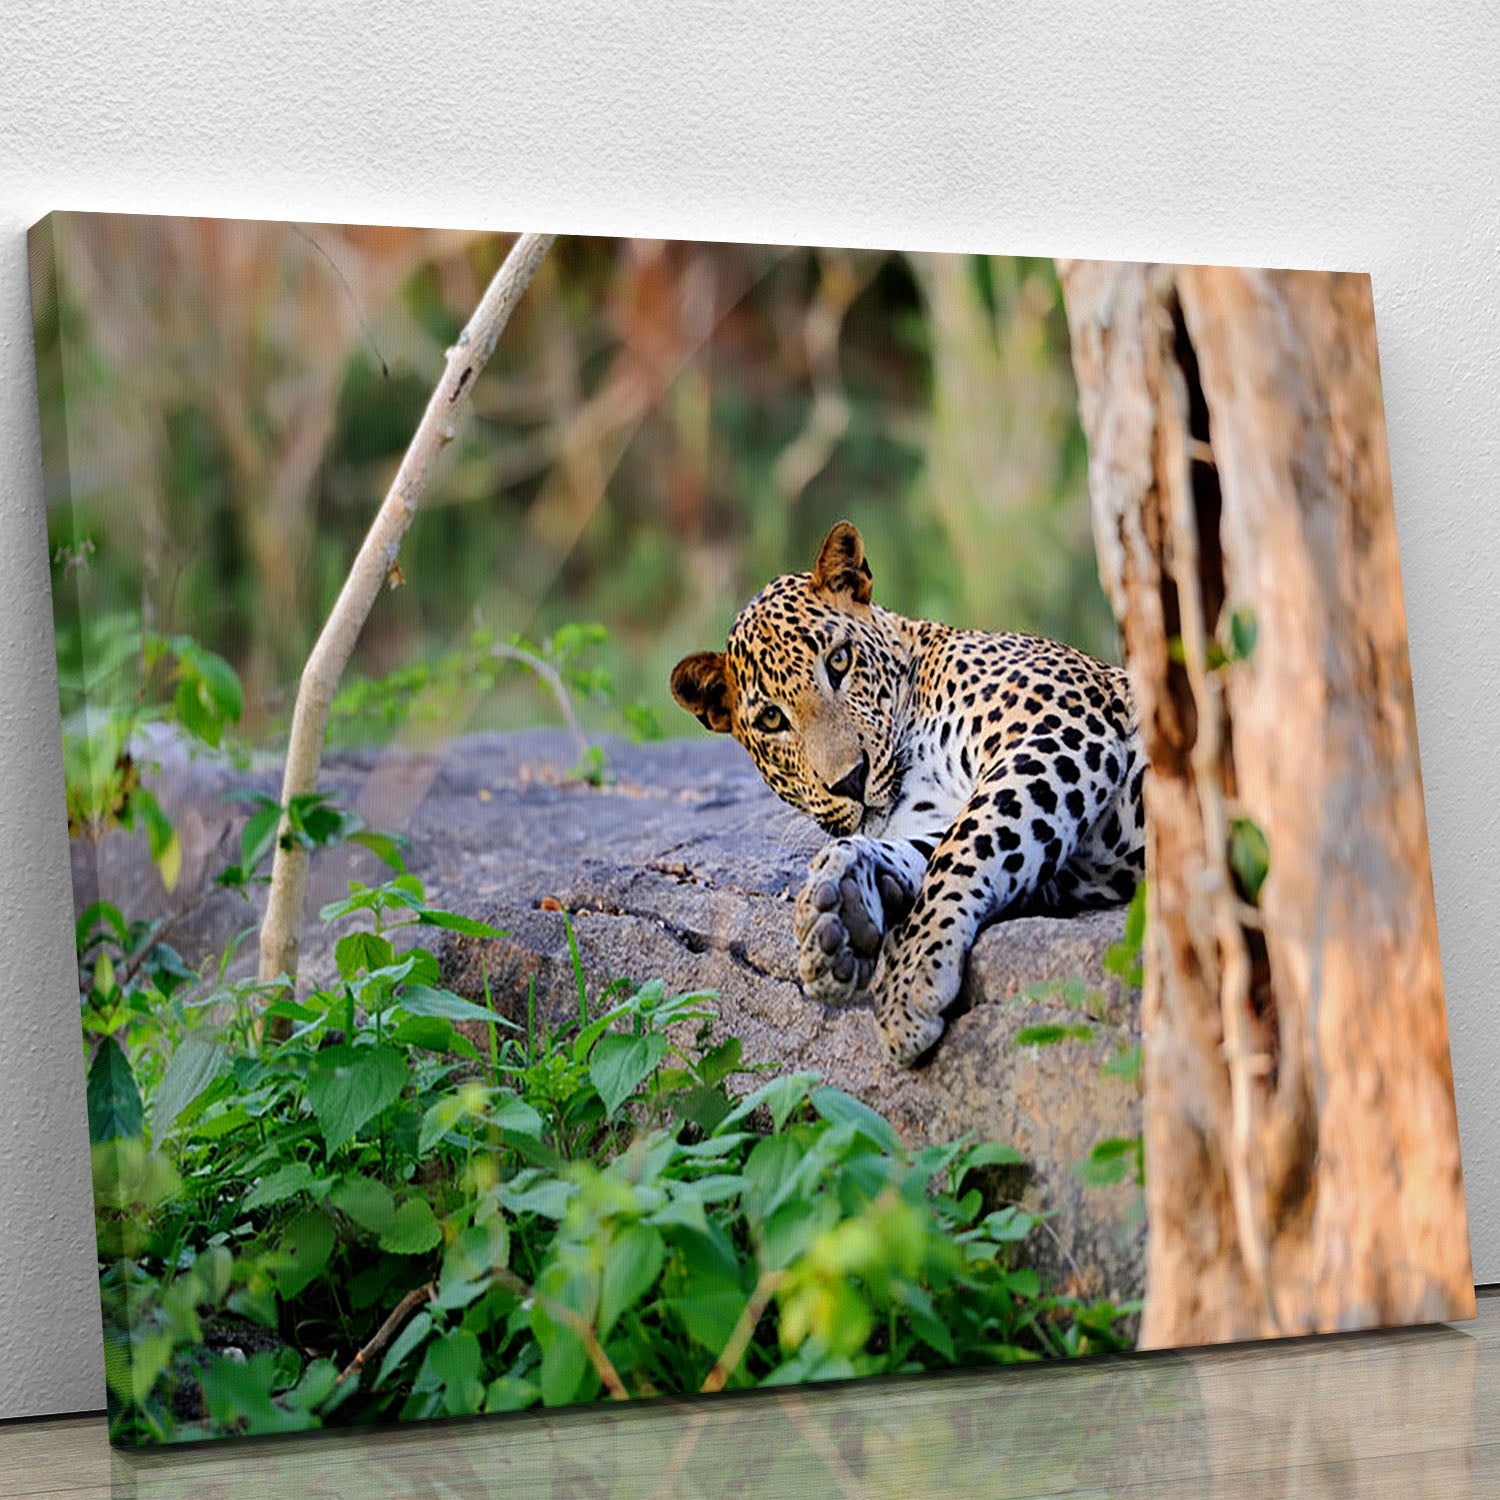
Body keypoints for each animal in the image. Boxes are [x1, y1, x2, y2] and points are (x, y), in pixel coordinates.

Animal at [670, 521, 1146, 1067]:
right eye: (771, 718)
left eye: (840, 660)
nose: (851, 779)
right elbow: (933, 847)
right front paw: (840, 906)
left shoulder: (1056, 729)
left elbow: (965, 846)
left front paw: (907, 979)